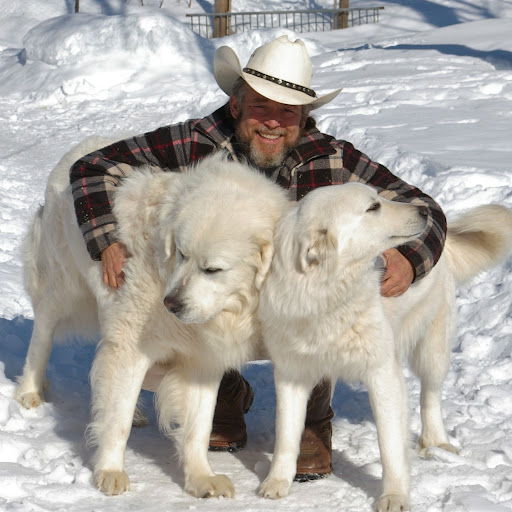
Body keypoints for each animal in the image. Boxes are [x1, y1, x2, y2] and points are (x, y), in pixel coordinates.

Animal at [17, 138, 288, 498]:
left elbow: (198, 428)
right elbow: (116, 421)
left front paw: (201, 477)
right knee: (43, 335)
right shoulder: (131, 344)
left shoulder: (202, 360)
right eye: (183, 255)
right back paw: (30, 391)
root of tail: (80, 147)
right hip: (61, 288)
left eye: (212, 269)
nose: (171, 304)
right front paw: (109, 471)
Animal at [258, 184, 512, 512]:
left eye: (378, 197)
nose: (425, 210)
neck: (327, 294)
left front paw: (394, 496)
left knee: (430, 397)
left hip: (431, 351)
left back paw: (437, 443)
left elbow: (390, 445)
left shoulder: (382, 373)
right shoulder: (291, 375)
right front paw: (276, 481)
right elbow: (286, 435)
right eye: (373, 207)